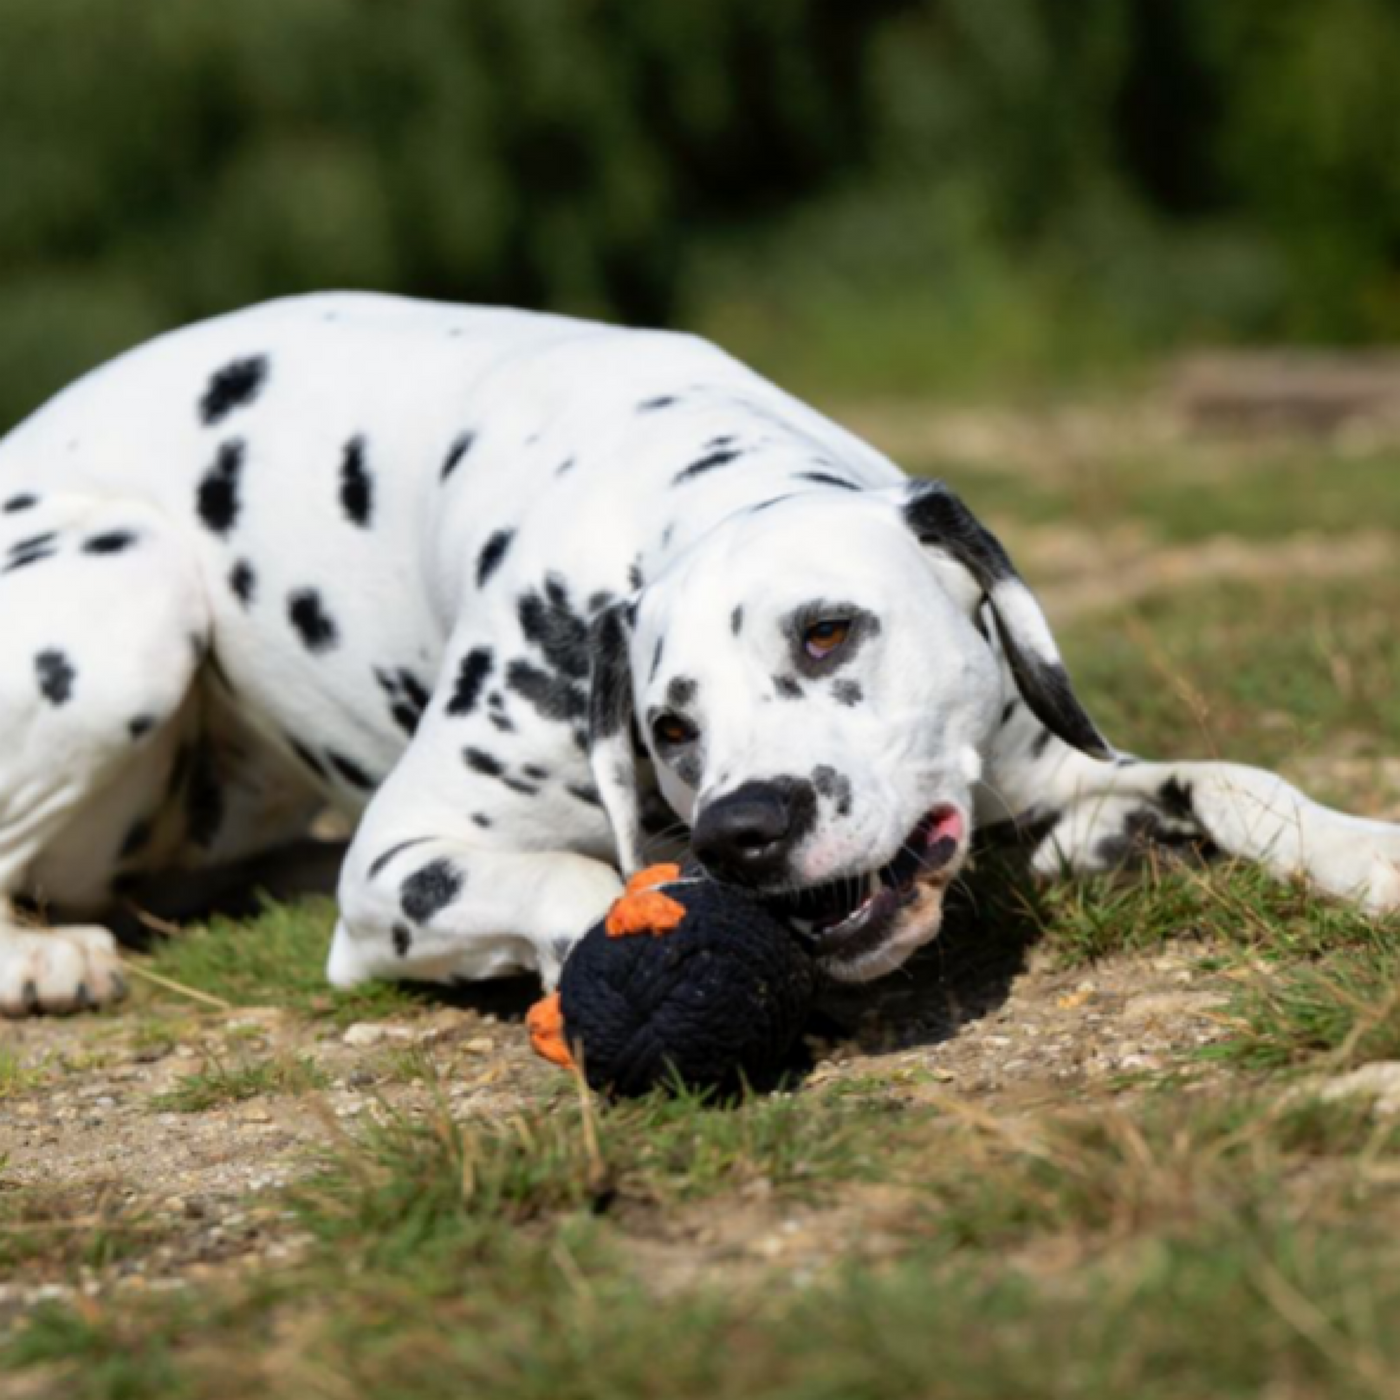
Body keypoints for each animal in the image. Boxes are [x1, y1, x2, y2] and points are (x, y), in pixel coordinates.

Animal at [2, 295, 1400, 1019]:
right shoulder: (395, 871)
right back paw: (39, 957)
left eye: (828, 630)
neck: (682, 475)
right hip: (133, 600)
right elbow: (573, 882)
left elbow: (1233, 780)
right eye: (668, 726)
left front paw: (1361, 849)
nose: (745, 828)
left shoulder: (1035, 780)